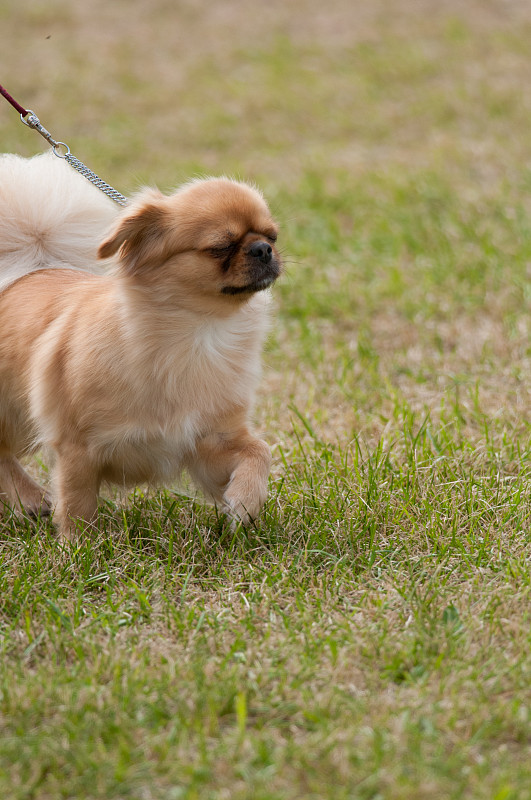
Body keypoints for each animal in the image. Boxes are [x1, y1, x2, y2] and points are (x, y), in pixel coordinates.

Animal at [0, 153, 282, 540]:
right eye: (220, 247)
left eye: (272, 236)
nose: (263, 249)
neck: (198, 331)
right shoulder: (78, 448)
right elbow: (77, 504)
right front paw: (77, 546)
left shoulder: (209, 441)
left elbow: (258, 451)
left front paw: (244, 502)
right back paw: (28, 496)